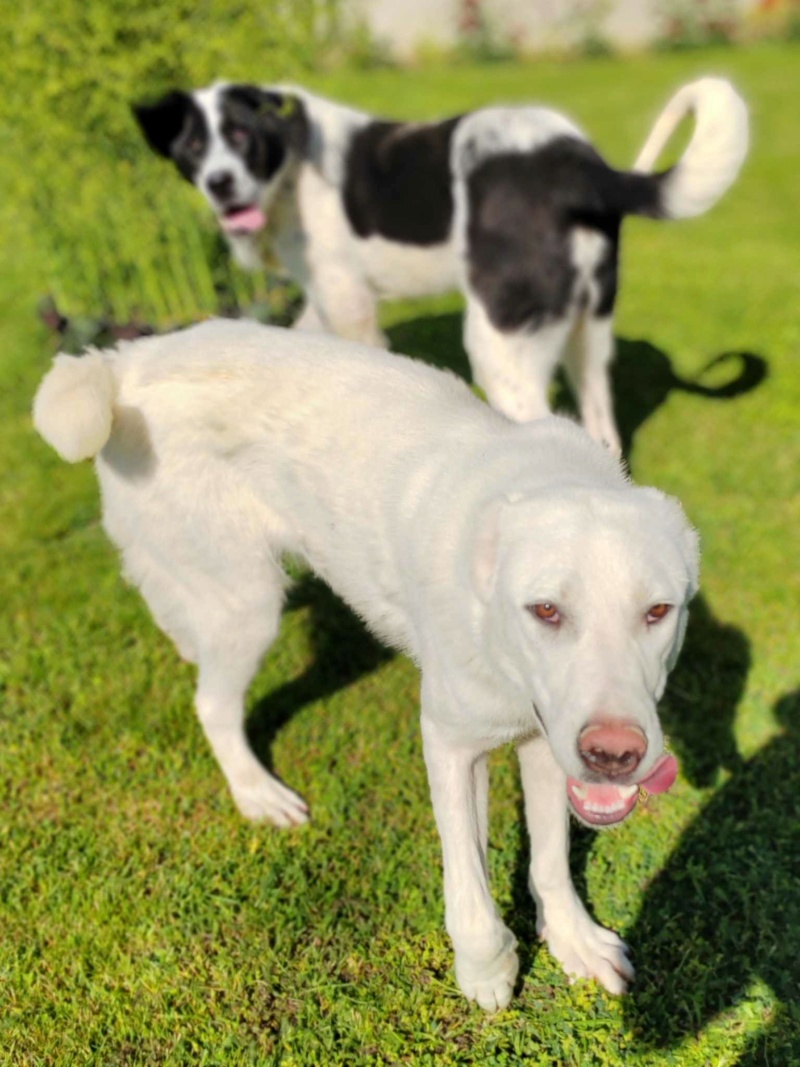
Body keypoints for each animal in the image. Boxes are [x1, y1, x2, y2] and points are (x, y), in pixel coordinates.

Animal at [32, 315, 695, 1007]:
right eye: (545, 610)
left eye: (657, 611)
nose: (615, 754)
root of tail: (126, 360)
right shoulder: (452, 743)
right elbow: (470, 889)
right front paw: (486, 973)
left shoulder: (543, 738)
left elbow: (549, 859)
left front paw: (572, 939)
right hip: (249, 604)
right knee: (211, 702)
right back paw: (257, 794)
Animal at [133, 77, 750, 454]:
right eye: (193, 147)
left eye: (241, 135)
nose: (220, 183)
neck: (291, 162)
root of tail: (578, 166)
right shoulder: (324, 301)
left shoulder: (349, 305)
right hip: (588, 340)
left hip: (500, 346)